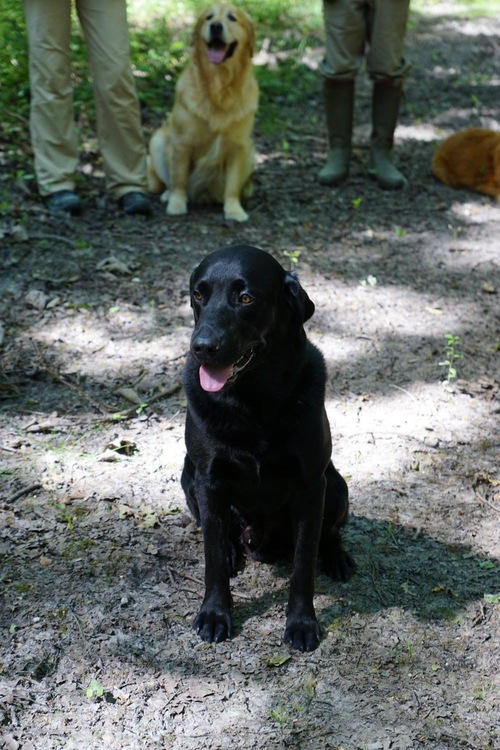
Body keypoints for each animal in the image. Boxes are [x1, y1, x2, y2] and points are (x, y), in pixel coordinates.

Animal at [182, 247, 354, 652]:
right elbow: (212, 557)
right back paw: (233, 551)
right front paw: (215, 613)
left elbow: (303, 565)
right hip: (187, 478)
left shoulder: (311, 486)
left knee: (329, 532)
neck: (252, 403)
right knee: (218, 534)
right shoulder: (208, 481)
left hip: (336, 487)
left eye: (246, 298)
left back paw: (336, 556)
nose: (202, 347)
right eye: (198, 295)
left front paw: (302, 623)